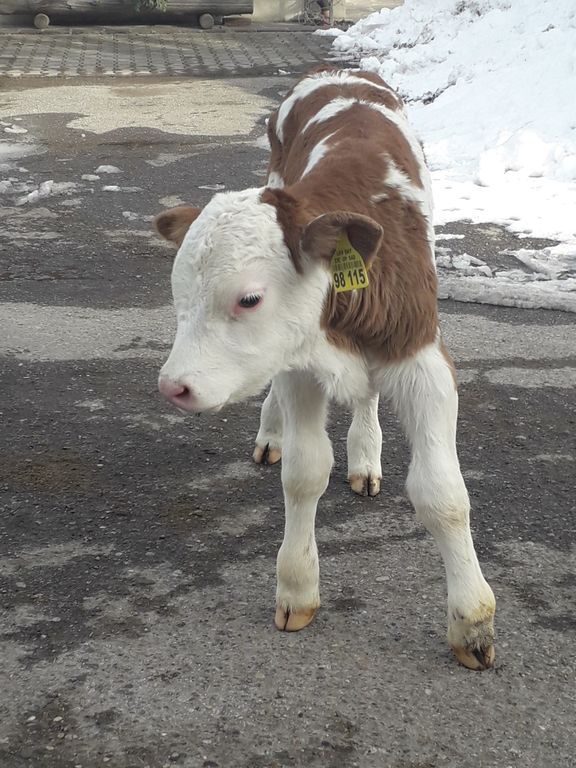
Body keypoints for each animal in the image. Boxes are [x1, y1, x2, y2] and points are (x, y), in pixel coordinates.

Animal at [155, 72, 498, 672]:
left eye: (248, 298)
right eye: (179, 297)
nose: (174, 386)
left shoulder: (423, 360)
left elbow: (442, 495)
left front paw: (472, 622)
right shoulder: (299, 367)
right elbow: (304, 472)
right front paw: (296, 589)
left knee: (367, 399)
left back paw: (366, 455)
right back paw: (272, 434)